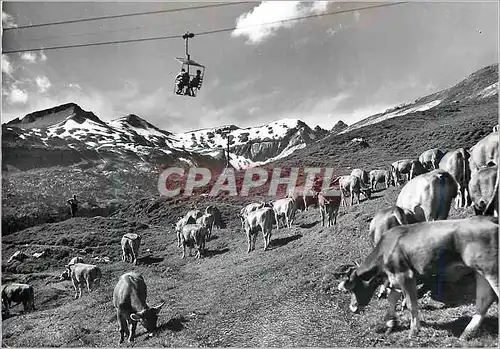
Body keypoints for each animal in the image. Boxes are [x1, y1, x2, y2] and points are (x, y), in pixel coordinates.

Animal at [338, 218, 498, 340]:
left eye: (353, 288)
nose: (352, 308)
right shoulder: (394, 278)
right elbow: (392, 298)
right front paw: (390, 322)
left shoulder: (405, 275)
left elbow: (410, 303)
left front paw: (414, 330)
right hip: (480, 272)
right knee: (484, 299)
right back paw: (467, 333)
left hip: (491, 270)